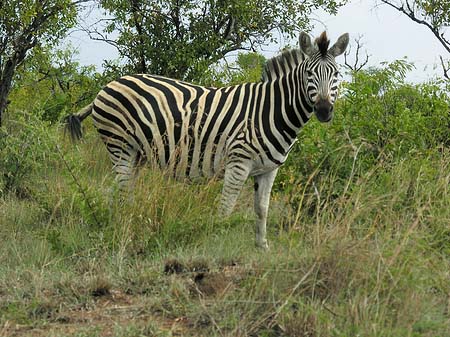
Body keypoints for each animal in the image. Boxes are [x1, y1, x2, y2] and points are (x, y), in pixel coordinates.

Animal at [65, 31, 350, 248]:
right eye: (309, 75)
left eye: (336, 75)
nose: (324, 110)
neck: (271, 109)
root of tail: (108, 85)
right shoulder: (238, 162)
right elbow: (226, 207)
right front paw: (218, 243)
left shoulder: (269, 169)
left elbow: (262, 209)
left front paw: (262, 247)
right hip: (120, 145)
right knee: (124, 192)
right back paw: (126, 227)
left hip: (134, 154)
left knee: (119, 193)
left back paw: (118, 224)